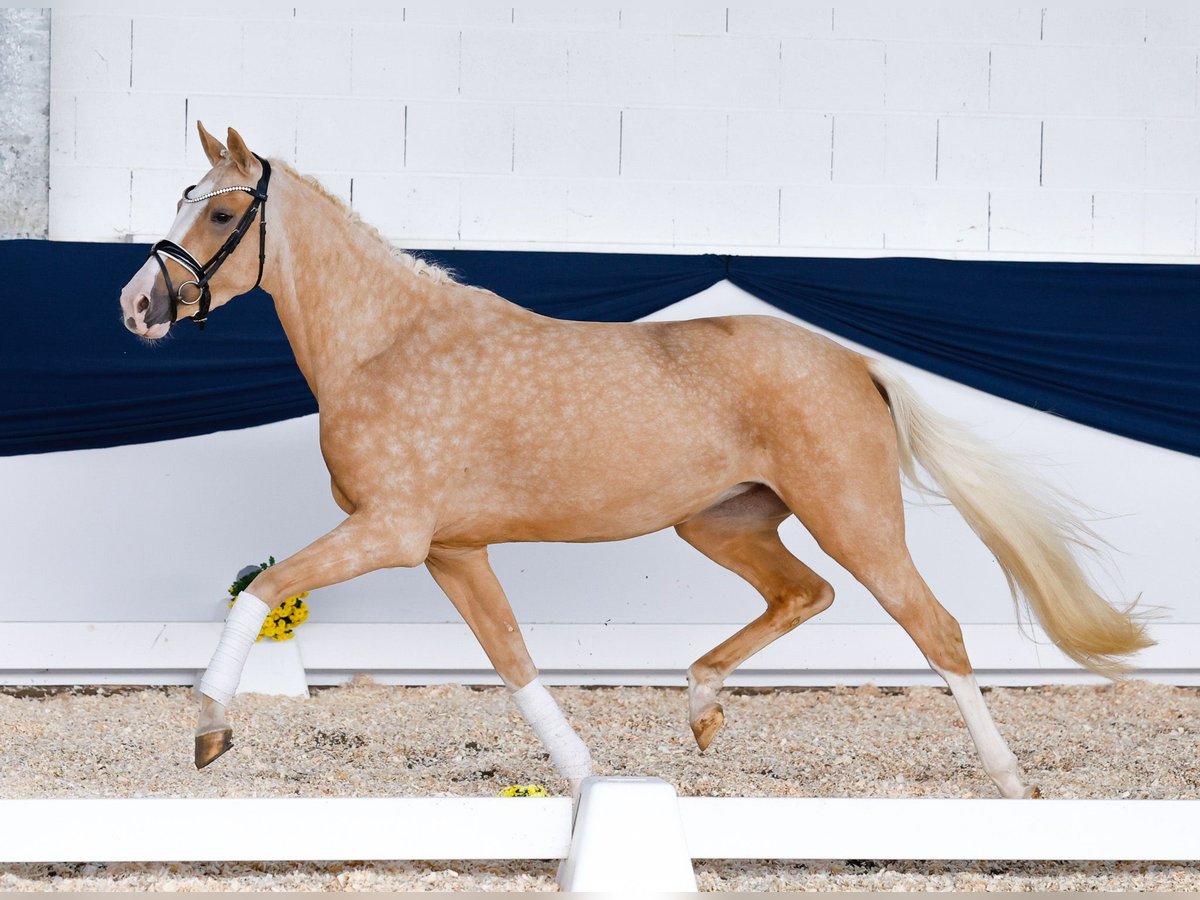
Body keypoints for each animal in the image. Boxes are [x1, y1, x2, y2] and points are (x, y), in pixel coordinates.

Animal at [117, 125, 1147, 796]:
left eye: (220, 212)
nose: (137, 307)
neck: (386, 345)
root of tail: (854, 362)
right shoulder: (452, 550)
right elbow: (513, 659)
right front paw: (585, 781)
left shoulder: (390, 533)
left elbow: (261, 591)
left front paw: (210, 731)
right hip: (723, 523)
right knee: (803, 595)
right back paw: (700, 708)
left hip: (854, 519)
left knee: (937, 630)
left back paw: (1009, 783)